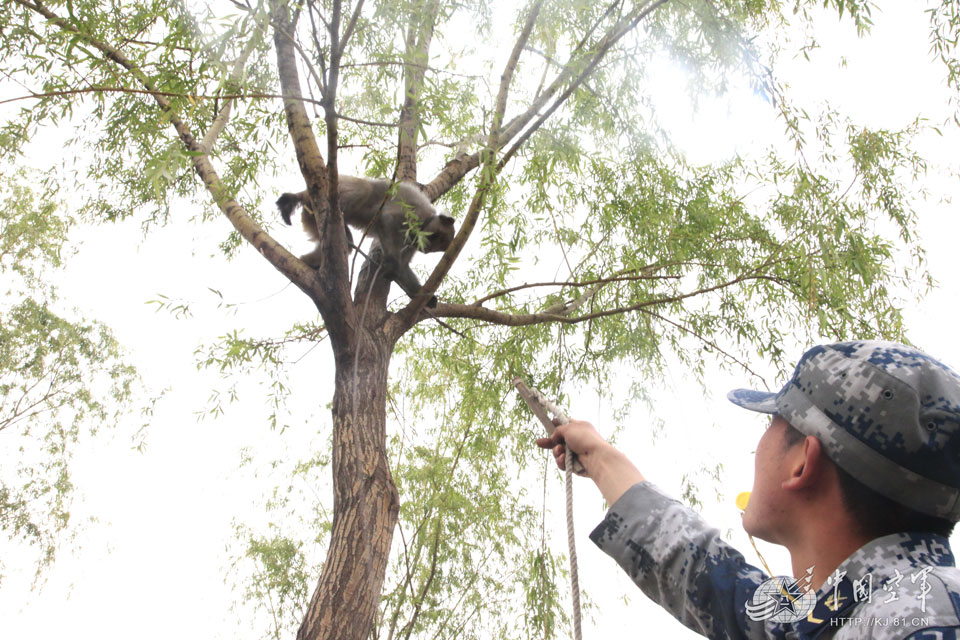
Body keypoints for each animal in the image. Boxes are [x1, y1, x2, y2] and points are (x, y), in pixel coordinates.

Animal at [278, 174, 458, 306]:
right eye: (434, 237)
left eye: (434, 248)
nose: (426, 248)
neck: (427, 218)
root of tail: (305, 195)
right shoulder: (411, 214)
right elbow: (387, 220)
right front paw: (391, 264)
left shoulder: (412, 242)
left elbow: (403, 266)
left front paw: (422, 295)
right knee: (365, 189)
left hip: (311, 217)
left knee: (344, 243)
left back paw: (309, 262)